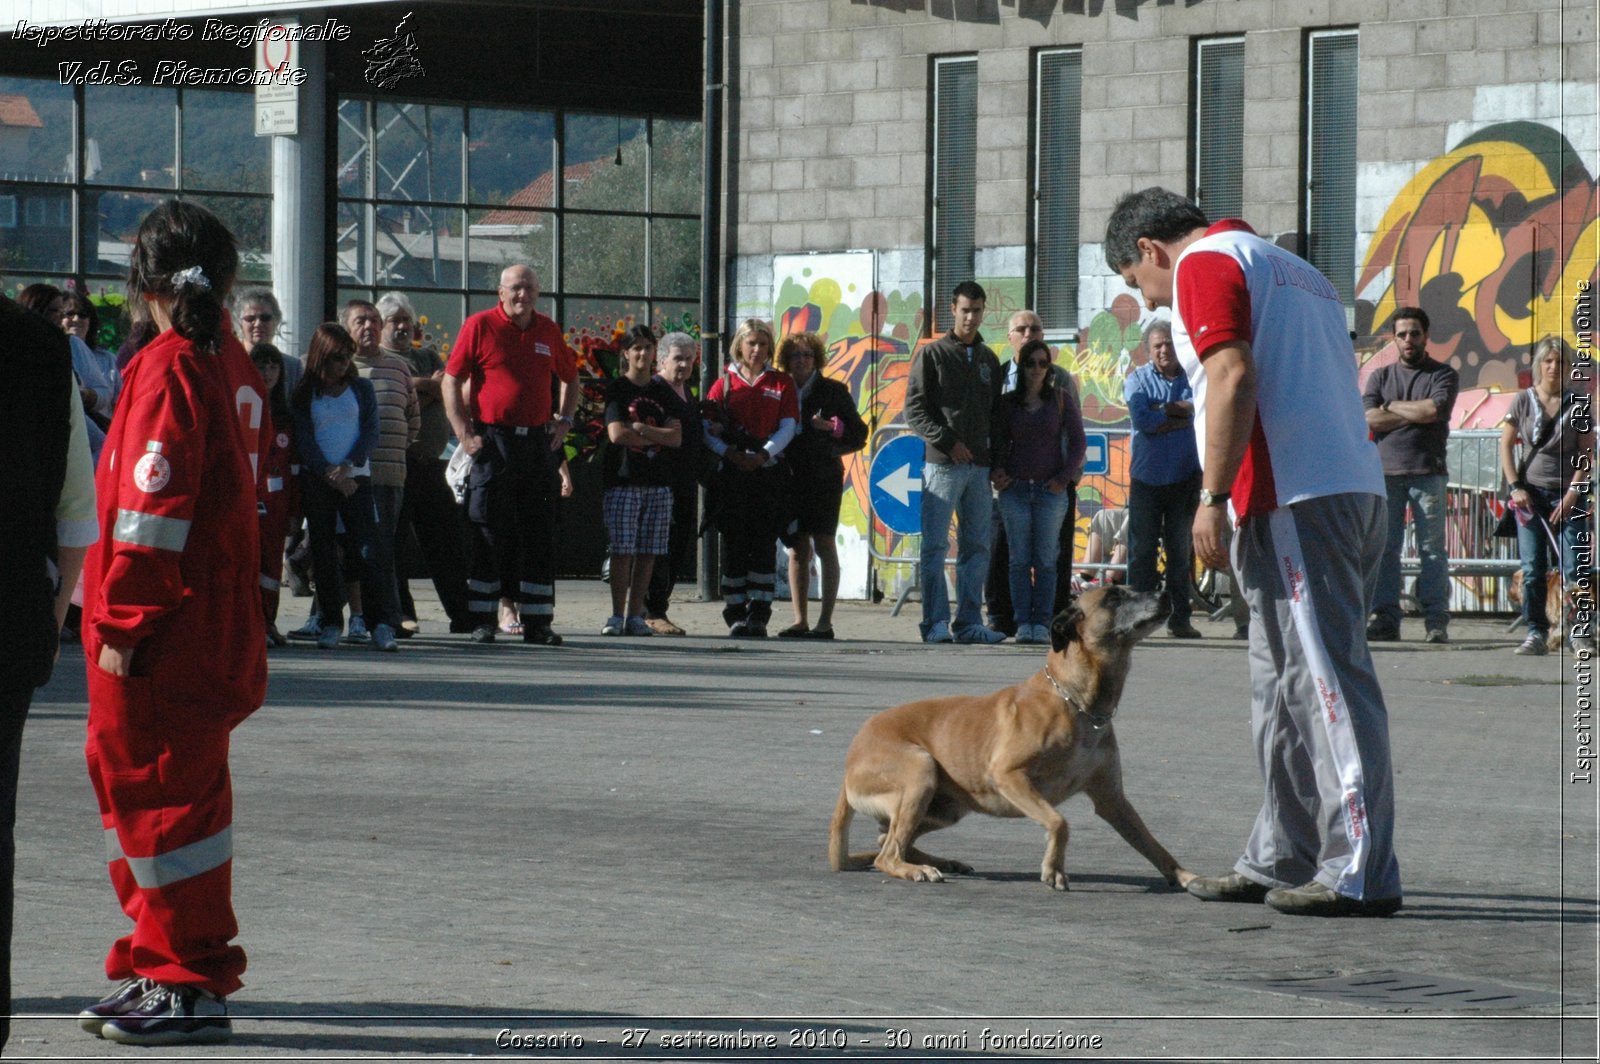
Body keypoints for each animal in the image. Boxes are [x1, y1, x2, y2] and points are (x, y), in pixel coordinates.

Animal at [832, 582, 1196, 889]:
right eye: (1114, 597)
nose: (1166, 593)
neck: (1075, 702)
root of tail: (851, 758)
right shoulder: (1009, 776)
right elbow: (1059, 822)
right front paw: (1053, 868)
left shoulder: (1113, 800)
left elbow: (1153, 844)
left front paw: (1188, 877)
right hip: (921, 772)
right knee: (888, 853)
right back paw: (915, 869)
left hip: (946, 806)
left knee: (888, 840)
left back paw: (941, 861)